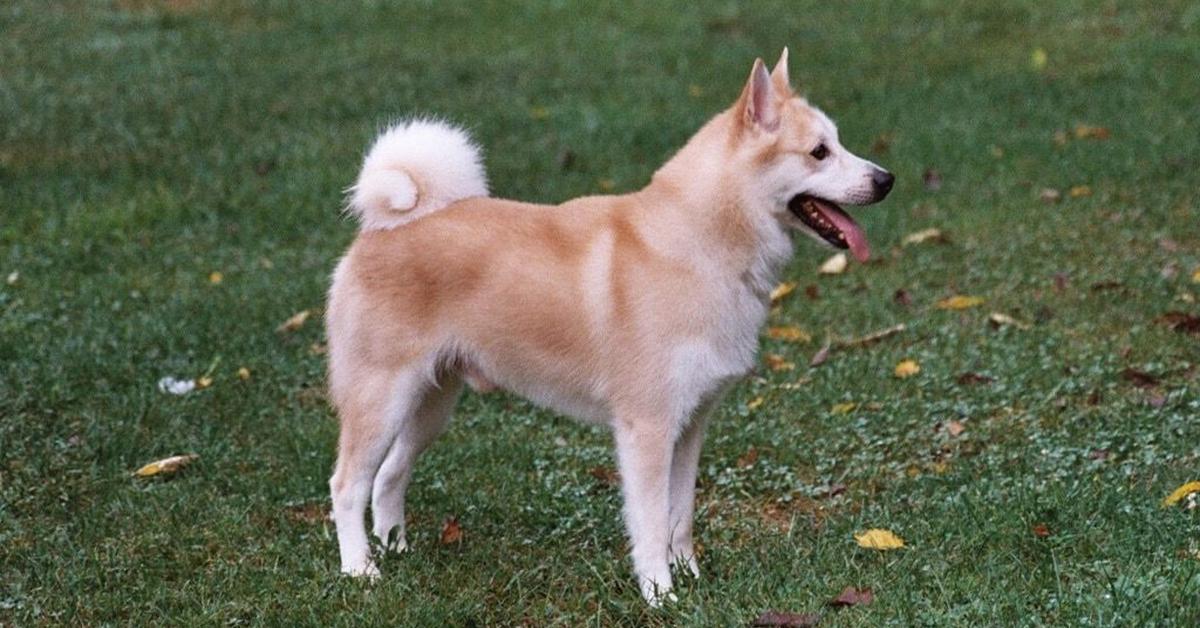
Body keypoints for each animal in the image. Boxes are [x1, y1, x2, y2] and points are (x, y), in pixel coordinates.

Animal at [326, 49, 892, 605]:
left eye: (837, 143)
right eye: (819, 152)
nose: (886, 180)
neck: (699, 246)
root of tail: (384, 227)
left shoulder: (690, 426)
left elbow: (680, 517)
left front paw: (690, 577)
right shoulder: (648, 429)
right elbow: (650, 524)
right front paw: (660, 593)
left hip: (431, 405)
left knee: (389, 476)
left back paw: (395, 549)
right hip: (382, 400)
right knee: (347, 486)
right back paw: (360, 571)